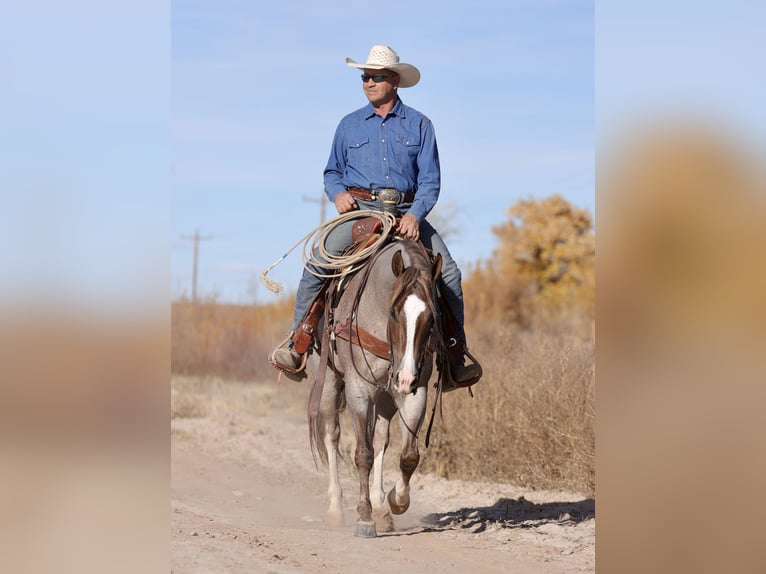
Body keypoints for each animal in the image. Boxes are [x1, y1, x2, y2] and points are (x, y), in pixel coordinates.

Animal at [307, 238, 444, 538]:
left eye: (432, 318)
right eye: (393, 312)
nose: (405, 377)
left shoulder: (417, 392)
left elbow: (408, 456)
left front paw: (396, 501)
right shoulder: (358, 390)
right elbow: (363, 454)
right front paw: (364, 518)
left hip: (385, 398)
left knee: (381, 438)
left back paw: (381, 507)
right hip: (330, 383)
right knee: (332, 436)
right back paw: (336, 508)